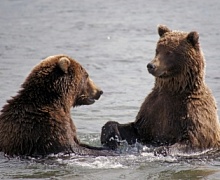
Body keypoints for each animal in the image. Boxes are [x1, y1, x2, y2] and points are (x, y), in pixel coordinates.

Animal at [101, 25, 220, 155]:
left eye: (170, 52)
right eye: (157, 50)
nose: (151, 65)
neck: (173, 89)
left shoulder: (192, 111)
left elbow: (193, 140)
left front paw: (159, 149)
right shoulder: (153, 110)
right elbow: (135, 129)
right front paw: (111, 136)